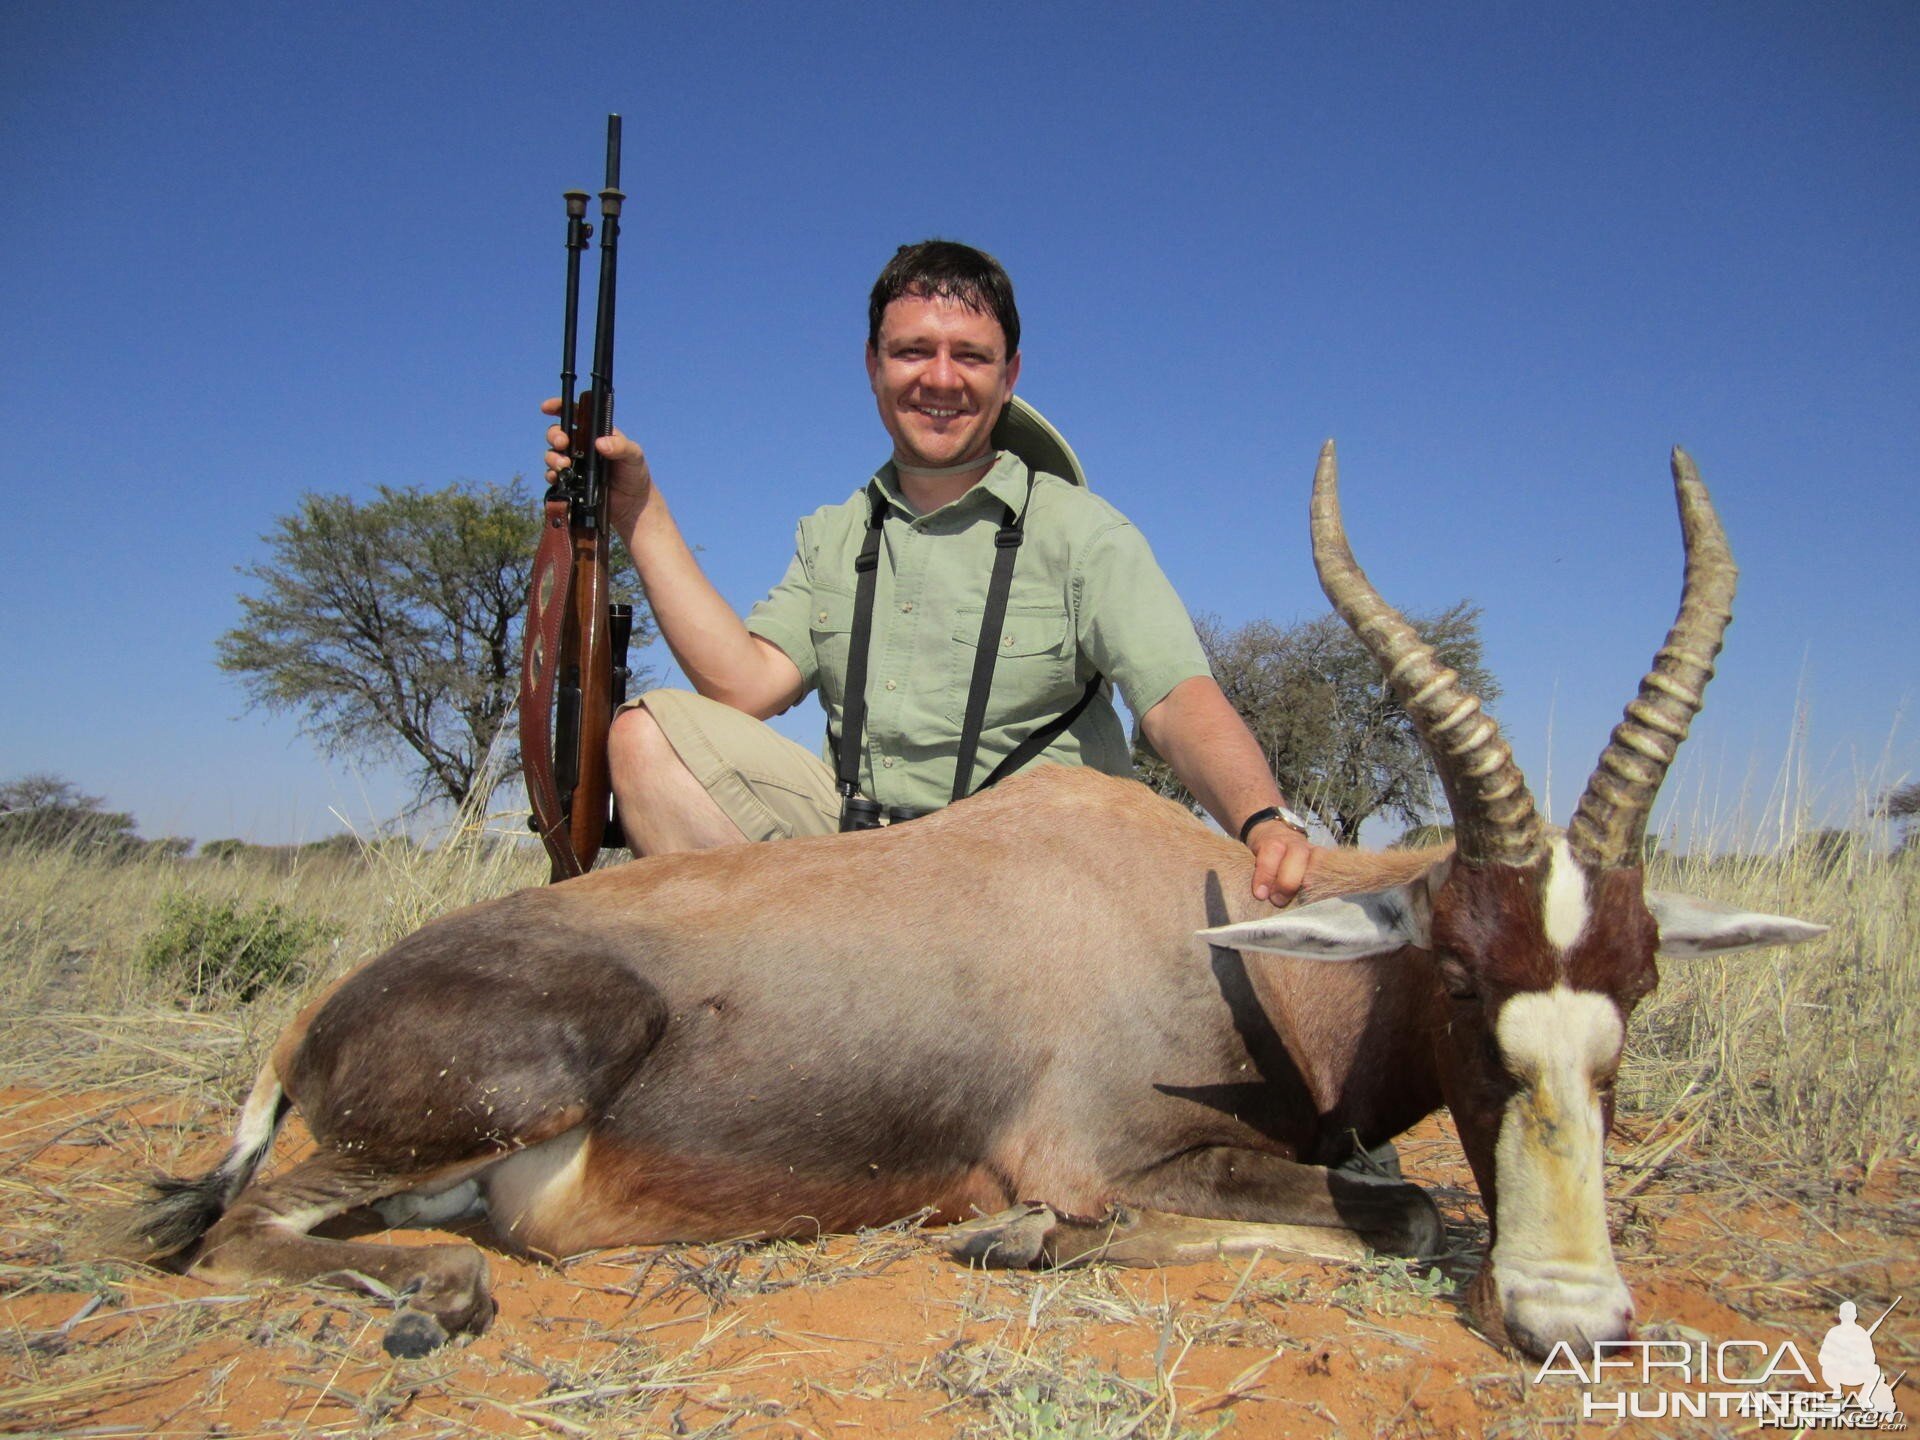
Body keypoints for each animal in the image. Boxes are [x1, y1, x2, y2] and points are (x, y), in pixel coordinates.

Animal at [112, 445, 1820, 1359]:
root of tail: (314, 1022)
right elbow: (1390, 1212)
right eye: (1461, 980)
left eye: (1638, 988)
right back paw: (429, 1302)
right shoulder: (1099, 1153)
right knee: (243, 1230)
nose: (1572, 1318)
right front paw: (1012, 1243)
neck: (1198, 917)